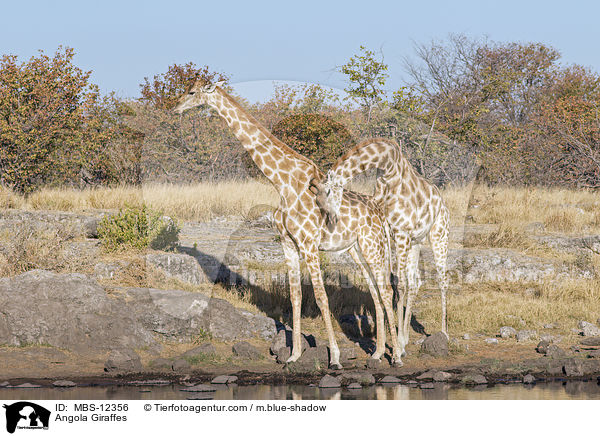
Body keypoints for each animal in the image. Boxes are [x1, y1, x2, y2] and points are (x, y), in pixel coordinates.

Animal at [173, 79, 404, 368]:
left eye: (192, 92)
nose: (175, 107)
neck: (283, 183)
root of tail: (379, 211)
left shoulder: (308, 244)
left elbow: (321, 298)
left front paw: (335, 358)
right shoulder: (288, 243)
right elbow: (295, 297)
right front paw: (293, 355)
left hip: (373, 245)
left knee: (386, 290)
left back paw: (397, 356)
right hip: (354, 248)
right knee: (375, 291)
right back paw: (377, 352)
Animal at [312, 138, 448, 352]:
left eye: (327, 193)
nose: (329, 220)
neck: (387, 168)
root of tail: (441, 201)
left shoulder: (400, 233)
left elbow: (399, 284)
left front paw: (398, 344)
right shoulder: (389, 232)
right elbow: (391, 283)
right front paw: (394, 340)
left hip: (439, 235)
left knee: (442, 280)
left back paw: (444, 333)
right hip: (416, 242)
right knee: (415, 282)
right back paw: (407, 335)